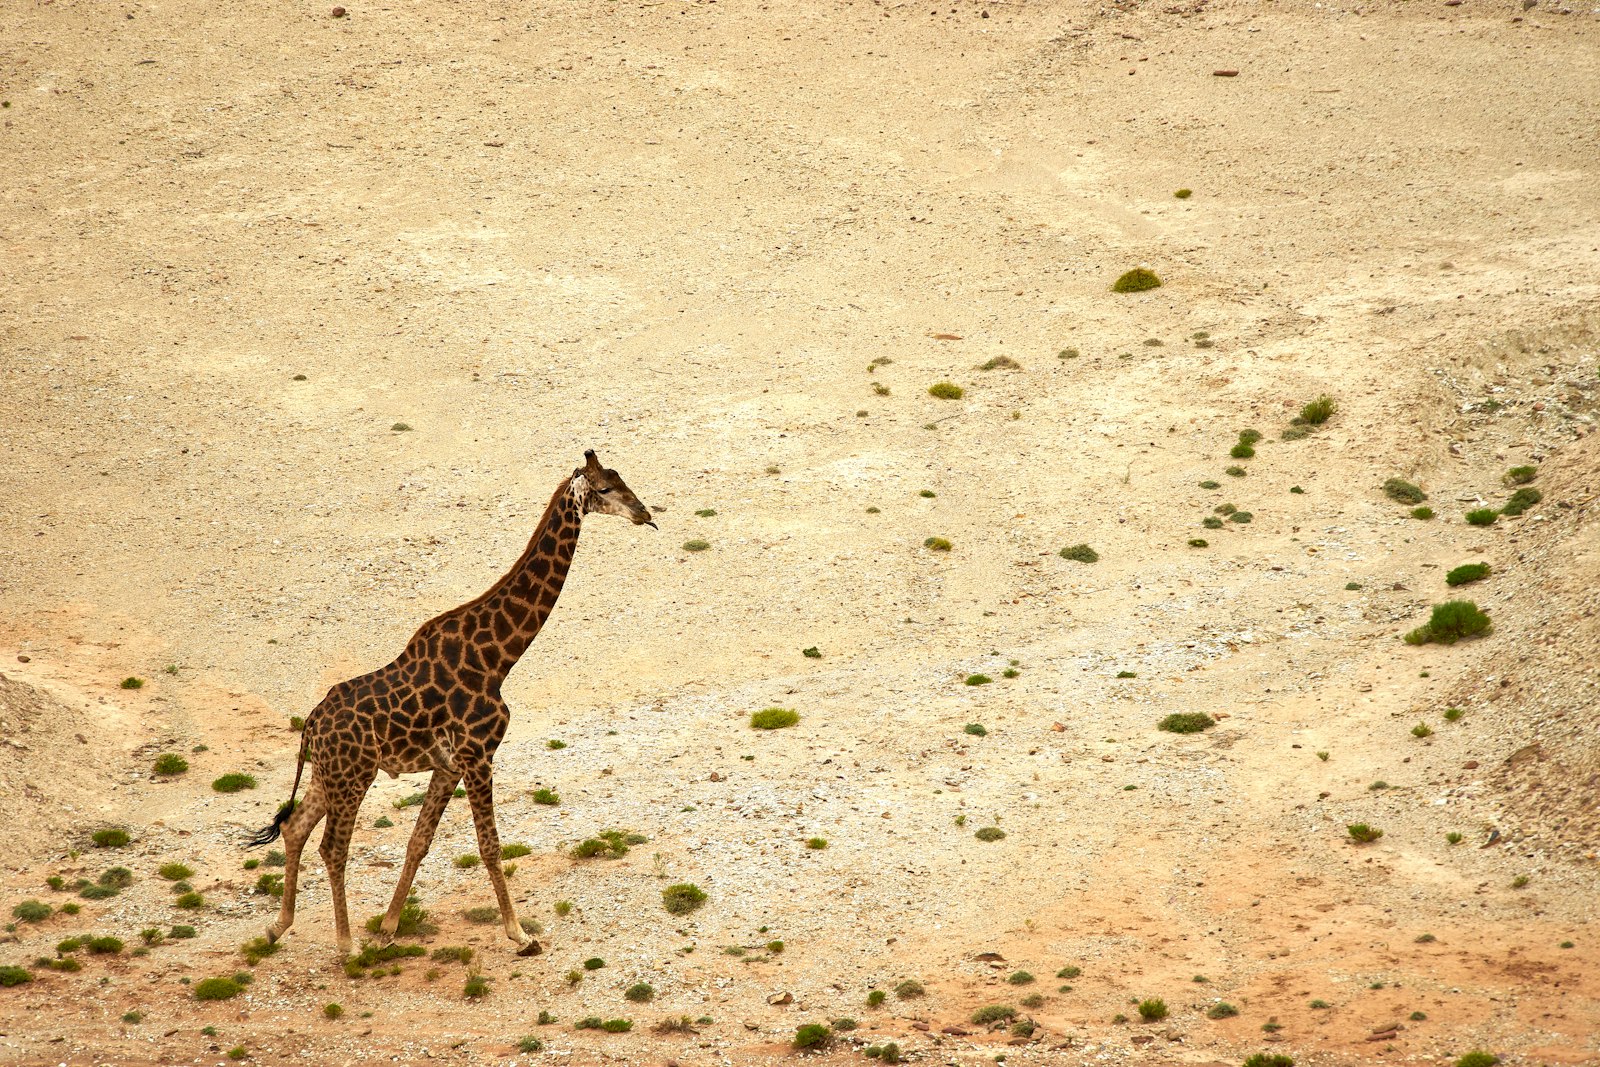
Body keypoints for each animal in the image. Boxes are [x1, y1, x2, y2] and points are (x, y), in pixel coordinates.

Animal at [246, 451, 652, 959]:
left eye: (621, 479)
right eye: (603, 489)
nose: (645, 513)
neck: (499, 658)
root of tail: (311, 726)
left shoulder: (449, 764)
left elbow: (419, 841)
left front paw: (388, 928)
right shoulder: (478, 755)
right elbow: (490, 846)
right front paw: (520, 934)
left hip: (329, 775)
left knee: (296, 827)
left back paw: (277, 927)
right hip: (353, 776)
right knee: (332, 847)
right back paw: (345, 945)